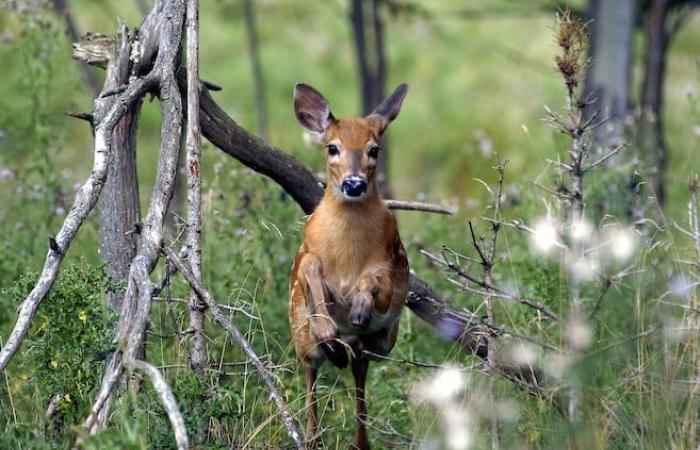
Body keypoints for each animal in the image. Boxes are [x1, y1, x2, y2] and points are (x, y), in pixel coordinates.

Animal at [288, 81, 410, 450]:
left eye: (374, 150)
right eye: (332, 148)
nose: (354, 184)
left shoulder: (392, 267)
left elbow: (374, 282)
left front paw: (358, 307)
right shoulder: (307, 254)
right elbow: (311, 269)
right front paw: (331, 325)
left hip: (383, 344)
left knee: (359, 376)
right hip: (300, 337)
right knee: (312, 377)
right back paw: (312, 434)